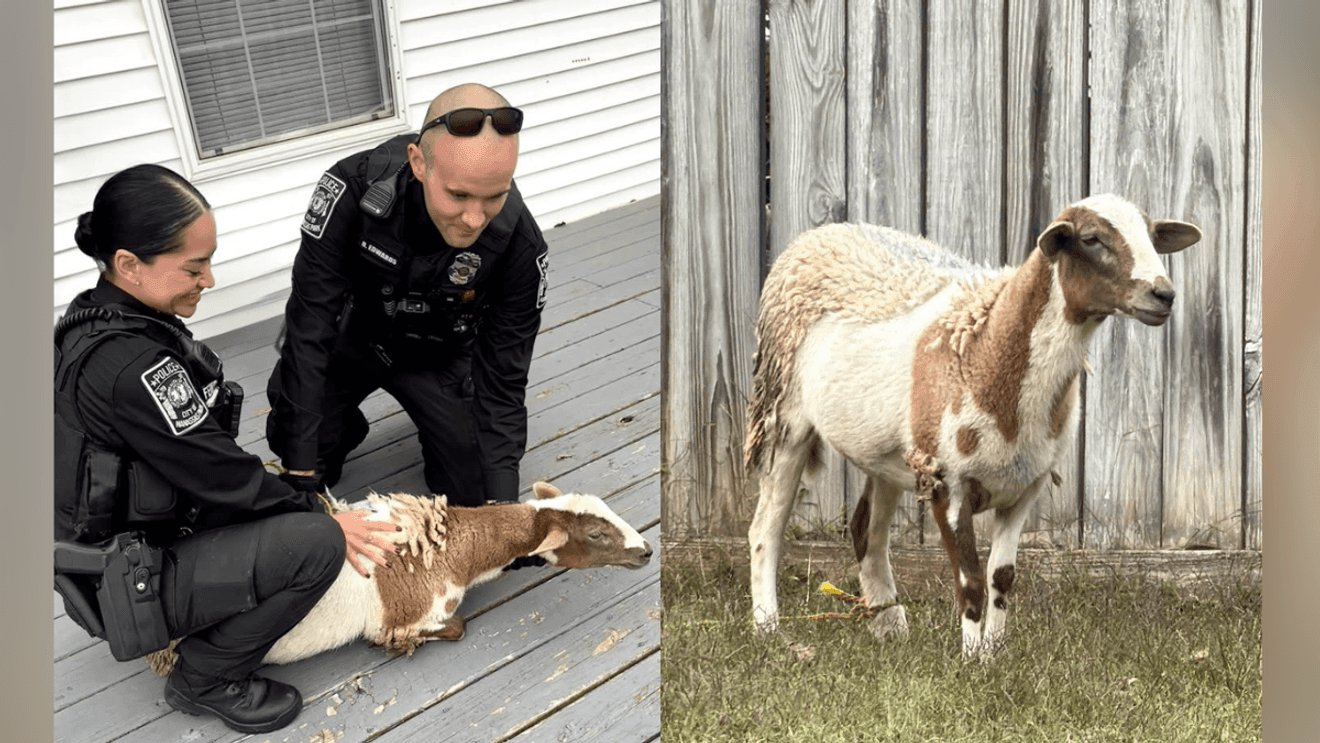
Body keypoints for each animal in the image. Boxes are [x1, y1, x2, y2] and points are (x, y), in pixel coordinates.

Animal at [745, 194, 1201, 658]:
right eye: (1091, 239)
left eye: (1152, 236)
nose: (1163, 294)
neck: (989, 344)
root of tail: (820, 234)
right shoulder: (948, 483)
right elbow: (970, 581)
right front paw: (969, 659)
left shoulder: (1025, 486)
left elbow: (1001, 578)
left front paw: (993, 655)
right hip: (783, 415)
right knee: (765, 530)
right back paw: (769, 628)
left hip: (893, 453)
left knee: (865, 531)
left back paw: (890, 627)